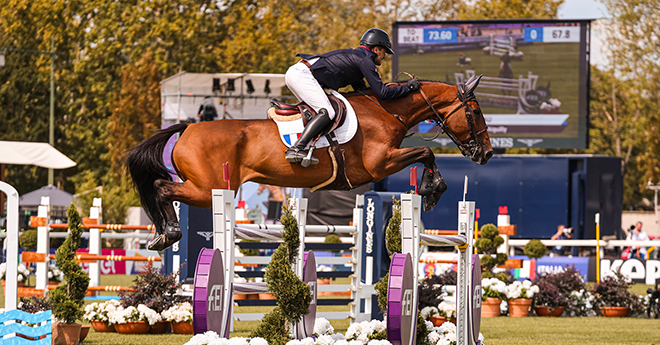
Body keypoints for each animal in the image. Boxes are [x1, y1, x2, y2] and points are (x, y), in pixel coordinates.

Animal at [126, 75, 492, 249]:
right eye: (474, 112)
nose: (486, 153)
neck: (387, 109)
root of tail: (186, 128)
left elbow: (425, 155)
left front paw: (430, 191)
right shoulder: (380, 165)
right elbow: (426, 153)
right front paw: (433, 191)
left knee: (162, 188)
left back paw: (161, 236)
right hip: (209, 189)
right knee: (162, 187)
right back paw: (169, 233)